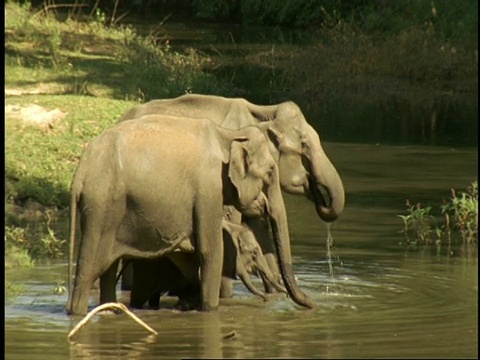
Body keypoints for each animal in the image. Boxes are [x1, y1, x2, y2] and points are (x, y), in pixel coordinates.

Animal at [66, 114, 316, 314]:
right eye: (271, 171)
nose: (313, 303)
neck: (227, 135)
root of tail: (81, 171)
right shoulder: (208, 190)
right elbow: (211, 251)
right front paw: (210, 310)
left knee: (108, 271)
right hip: (102, 209)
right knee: (88, 271)